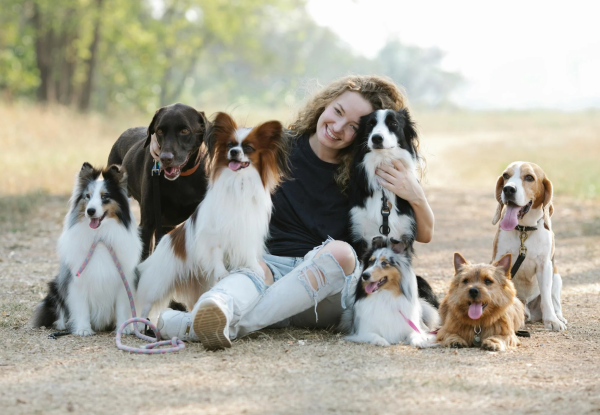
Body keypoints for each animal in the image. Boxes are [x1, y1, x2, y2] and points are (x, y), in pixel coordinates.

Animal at [32, 164, 141, 336]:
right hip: (55, 286)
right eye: (87, 196)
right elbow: (81, 306)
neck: (100, 237)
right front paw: (83, 329)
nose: (90, 211)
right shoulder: (77, 280)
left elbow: (122, 308)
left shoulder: (123, 280)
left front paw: (123, 328)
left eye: (105, 197)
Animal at [135, 112, 290, 320]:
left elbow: (249, 252)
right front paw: (222, 272)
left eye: (248, 148)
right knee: (145, 305)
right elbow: (216, 252)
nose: (234, 152)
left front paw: (255, 268)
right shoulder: (214, 232)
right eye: (230, 145)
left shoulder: (248, 229)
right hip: (158, 284)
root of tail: (164, 241)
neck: (239, 183)